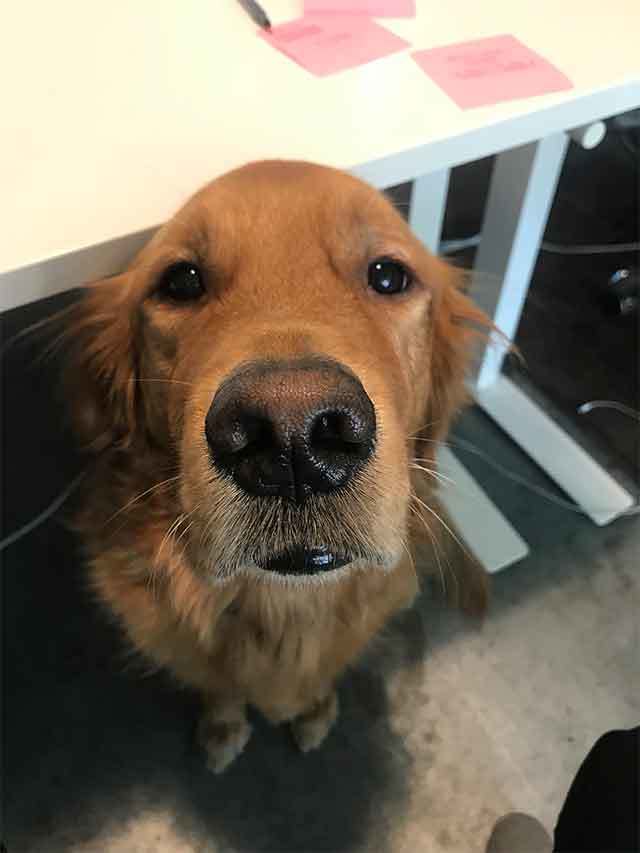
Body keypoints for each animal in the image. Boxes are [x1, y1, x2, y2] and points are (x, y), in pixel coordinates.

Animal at [63, 160, 484, 772]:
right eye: (181, 281)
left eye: (387, 275)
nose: (292, 440)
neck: (285, 609)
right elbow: (220, 684)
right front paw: (222, 725)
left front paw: (315, 709)